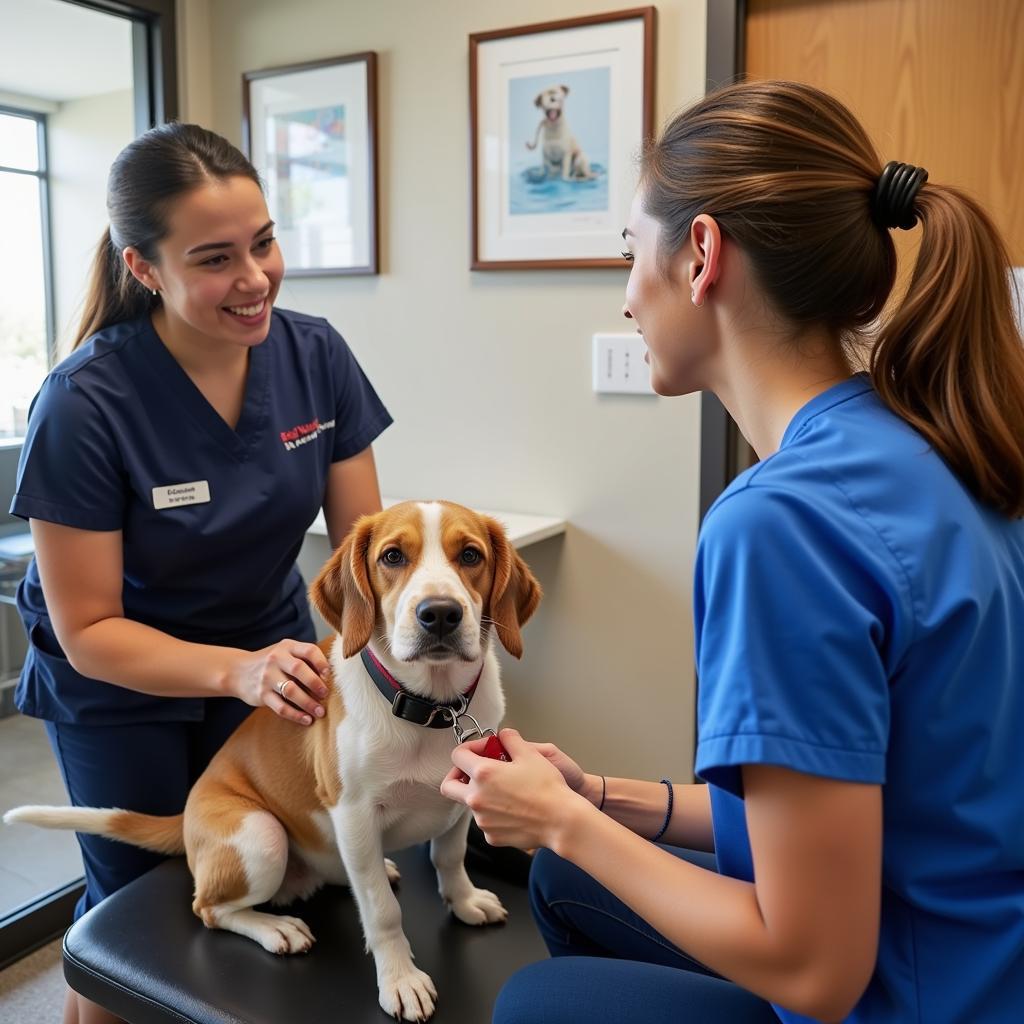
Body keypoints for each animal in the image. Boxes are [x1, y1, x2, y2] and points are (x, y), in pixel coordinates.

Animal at [4, 499, 544, 1019]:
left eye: (470, 555)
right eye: (392, 557)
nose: (440, 614)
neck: (430, 708)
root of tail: (187, 813)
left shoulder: (462, 801)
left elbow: (448, 858)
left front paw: (464, 901)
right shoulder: (352, 814)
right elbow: (382, 910)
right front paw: (400, 979)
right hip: (261, 836)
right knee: (209, 908)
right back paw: (276, 928)